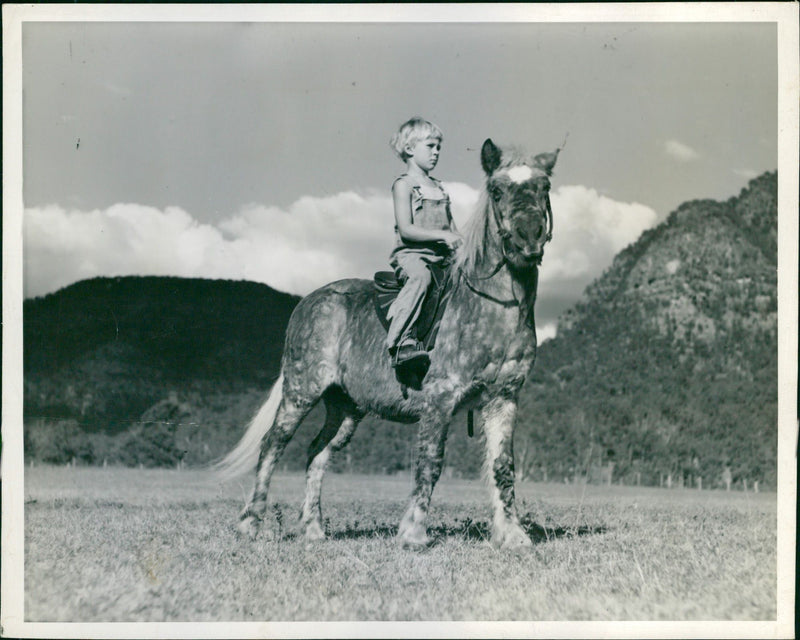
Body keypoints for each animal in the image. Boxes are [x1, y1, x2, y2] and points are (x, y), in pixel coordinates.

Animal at [216, 139, 560, 552]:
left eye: (544, 188)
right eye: (497, 190)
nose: (528, 240)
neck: (491, 305)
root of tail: (309, 302)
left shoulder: (503, 399)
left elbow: (502, 466)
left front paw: (512, 534)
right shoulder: (440, 398)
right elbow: (430, 463)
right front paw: (413, 533)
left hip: (345, 408)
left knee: (317, 453)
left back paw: (313, 529)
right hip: (301, 391)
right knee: (273, 445)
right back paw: (251, 524)